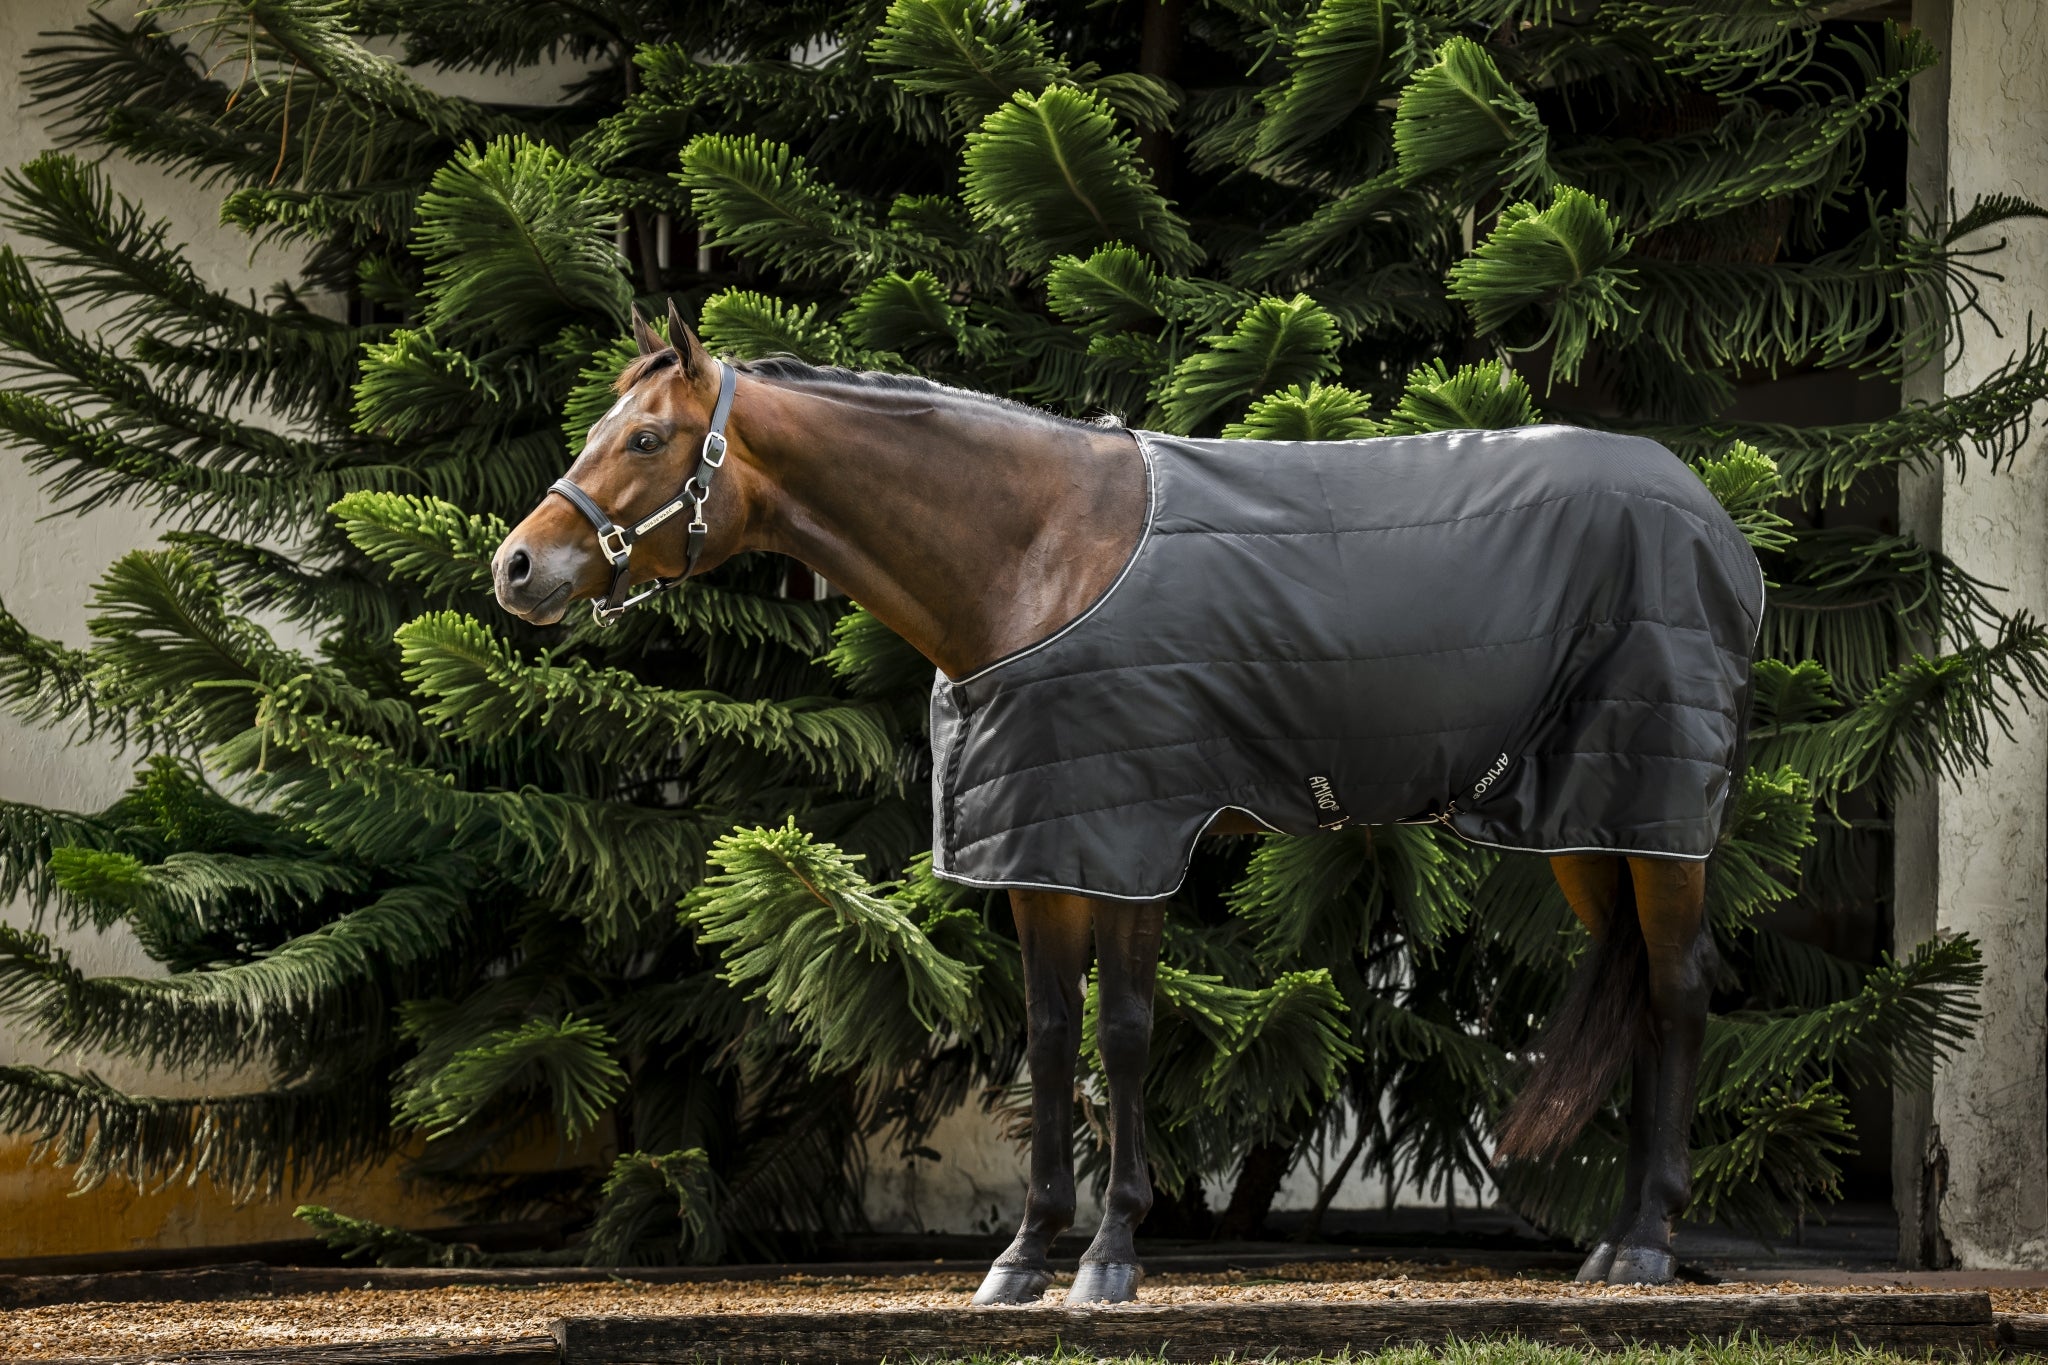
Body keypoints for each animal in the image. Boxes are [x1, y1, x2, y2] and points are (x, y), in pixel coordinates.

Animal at [491, 303, 1760, 1302]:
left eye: (646, 437)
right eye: (598, 431)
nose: (515, 568)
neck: (1035, 556)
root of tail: (1714, 524)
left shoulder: (1133, 836)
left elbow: (1126, 1032)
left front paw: (1109, 1255)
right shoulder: (1042, 848)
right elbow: (1052, 1038)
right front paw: (1024, 1254)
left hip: (1656, 818)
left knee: (1680, 987)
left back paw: (1644, 1245)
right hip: (1589, 827)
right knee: (1640, 987)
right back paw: (1616, 1242)